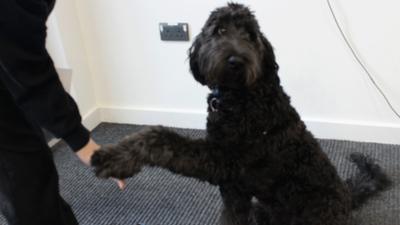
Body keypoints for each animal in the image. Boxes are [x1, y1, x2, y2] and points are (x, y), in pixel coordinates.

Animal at [91, 3, 390, 225]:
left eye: (250, 35)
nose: (236, 61)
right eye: (220, 30)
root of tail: (347, 196)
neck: (242, 97)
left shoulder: (225, 161)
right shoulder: (235, 189)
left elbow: (163, 139)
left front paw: (116, 158)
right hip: (265, 208)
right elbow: (232, 216)